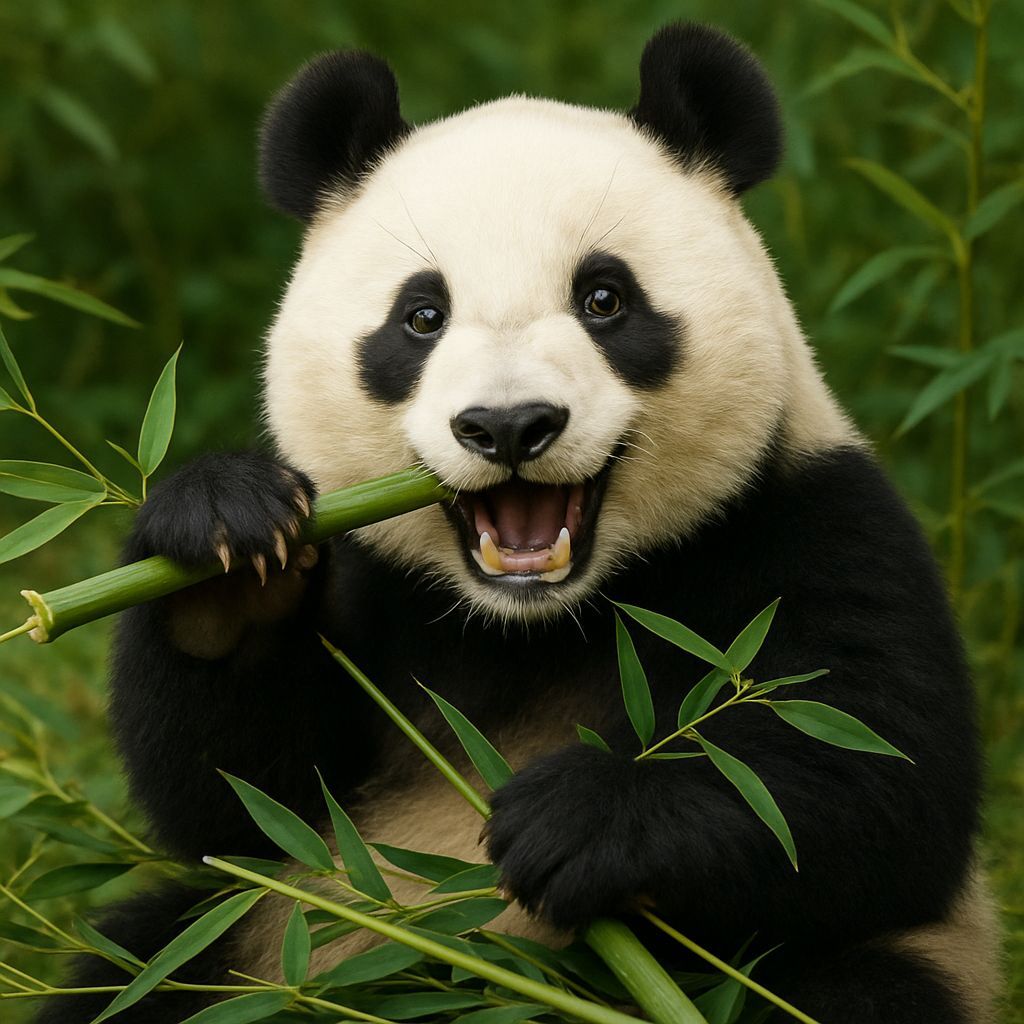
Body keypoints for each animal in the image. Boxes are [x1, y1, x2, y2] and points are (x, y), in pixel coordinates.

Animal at [34, 22, 999, 1024]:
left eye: (605, 298)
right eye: (421, 316)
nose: (508, 426)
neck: (531, 623)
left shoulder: (806, 520)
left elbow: (874, 780)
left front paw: (576, 820)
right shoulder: (373, 584)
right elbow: (241, 807)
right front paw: (227, 543)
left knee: (851, 986)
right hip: (251, 952)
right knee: (140, 960)